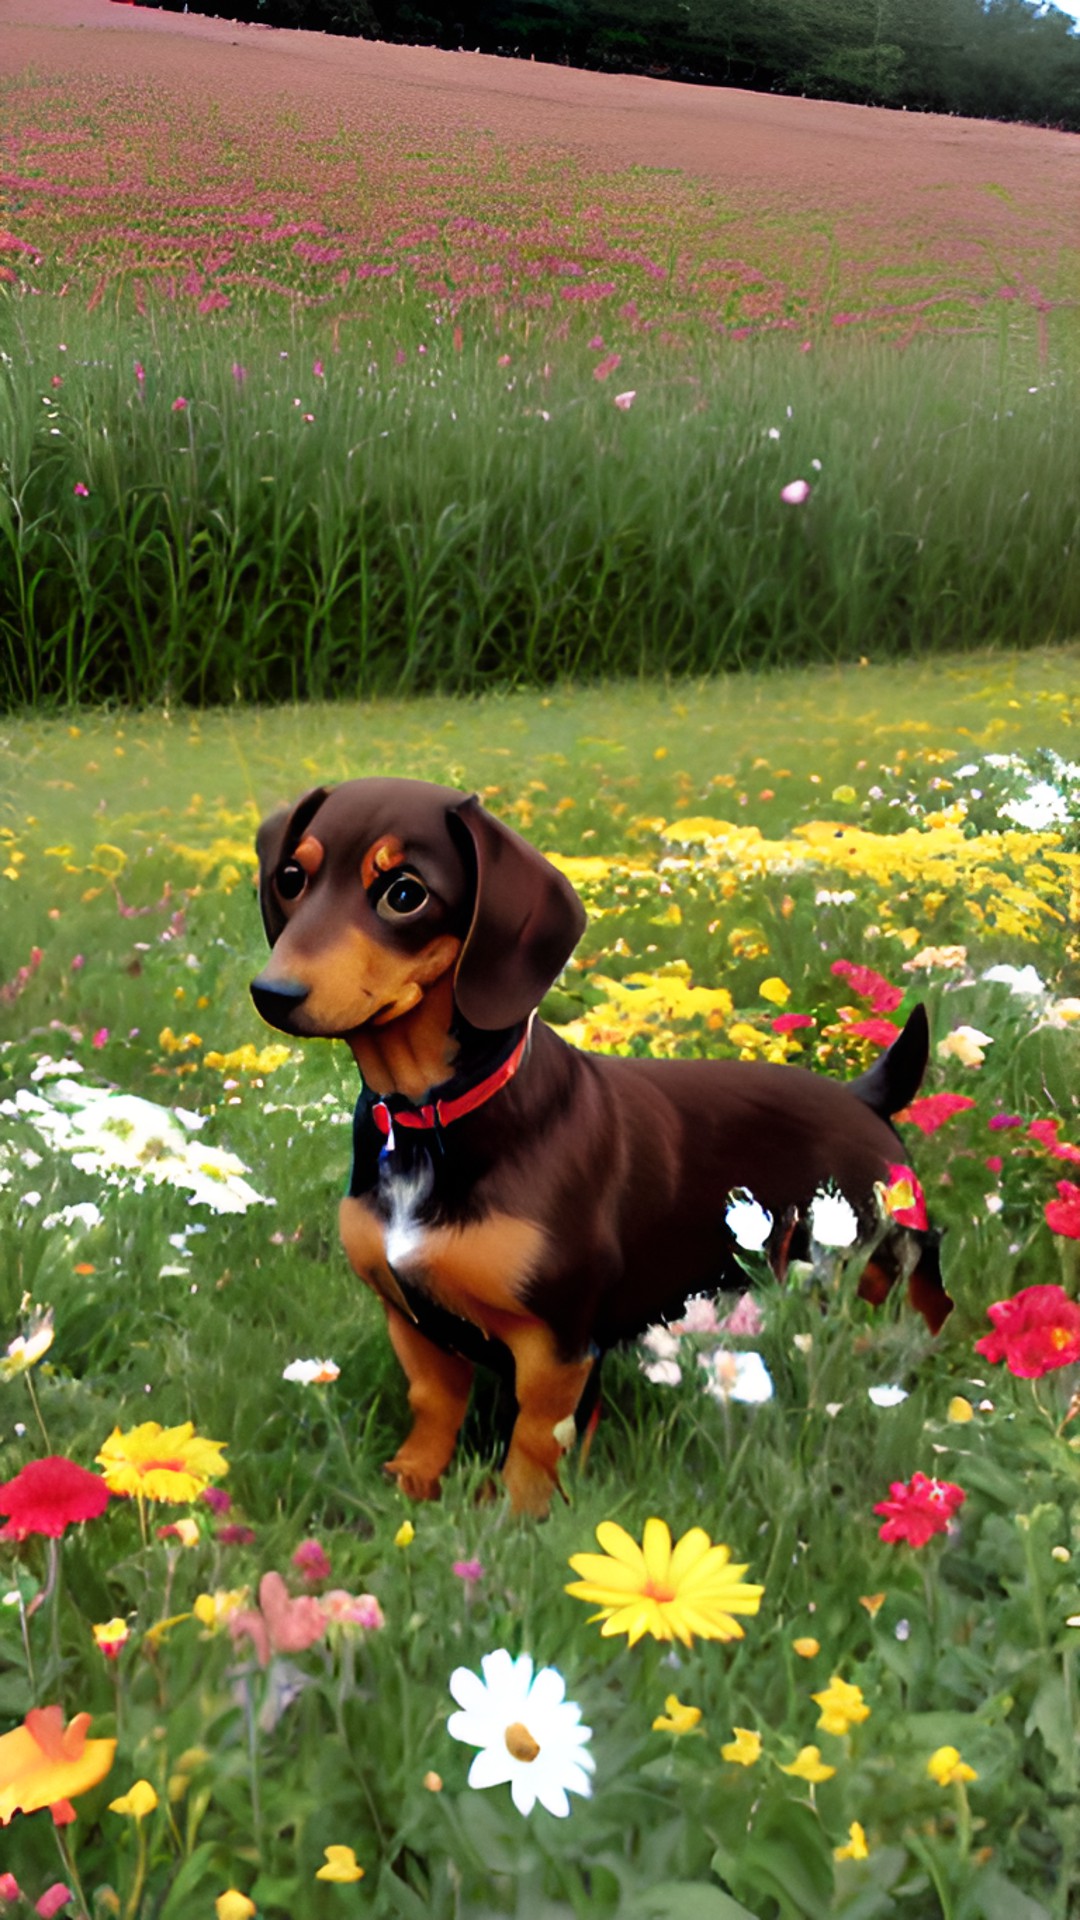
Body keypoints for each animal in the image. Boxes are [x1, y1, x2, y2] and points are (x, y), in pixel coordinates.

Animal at [249, 775, 941, 1512]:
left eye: (404, 894)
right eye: (291, 878)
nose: (271, 993)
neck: (431, 1117)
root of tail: (865, 1095)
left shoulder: (556, 1342)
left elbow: (535, 1436)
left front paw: (516, 1516)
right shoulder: (410, 1319)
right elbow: (432, 1404)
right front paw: (412, 1484)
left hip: (890, 1255)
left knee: (928, 1305)